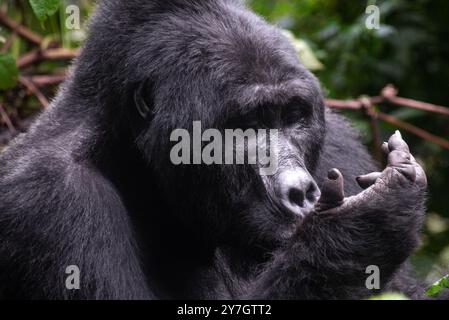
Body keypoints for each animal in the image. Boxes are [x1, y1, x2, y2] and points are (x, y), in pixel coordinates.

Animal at [0, 0, 438, 300]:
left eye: (292, 116)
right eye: (245, 126)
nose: (301, 191)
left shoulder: (336, 144)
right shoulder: (53, 197)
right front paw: (362, 228)